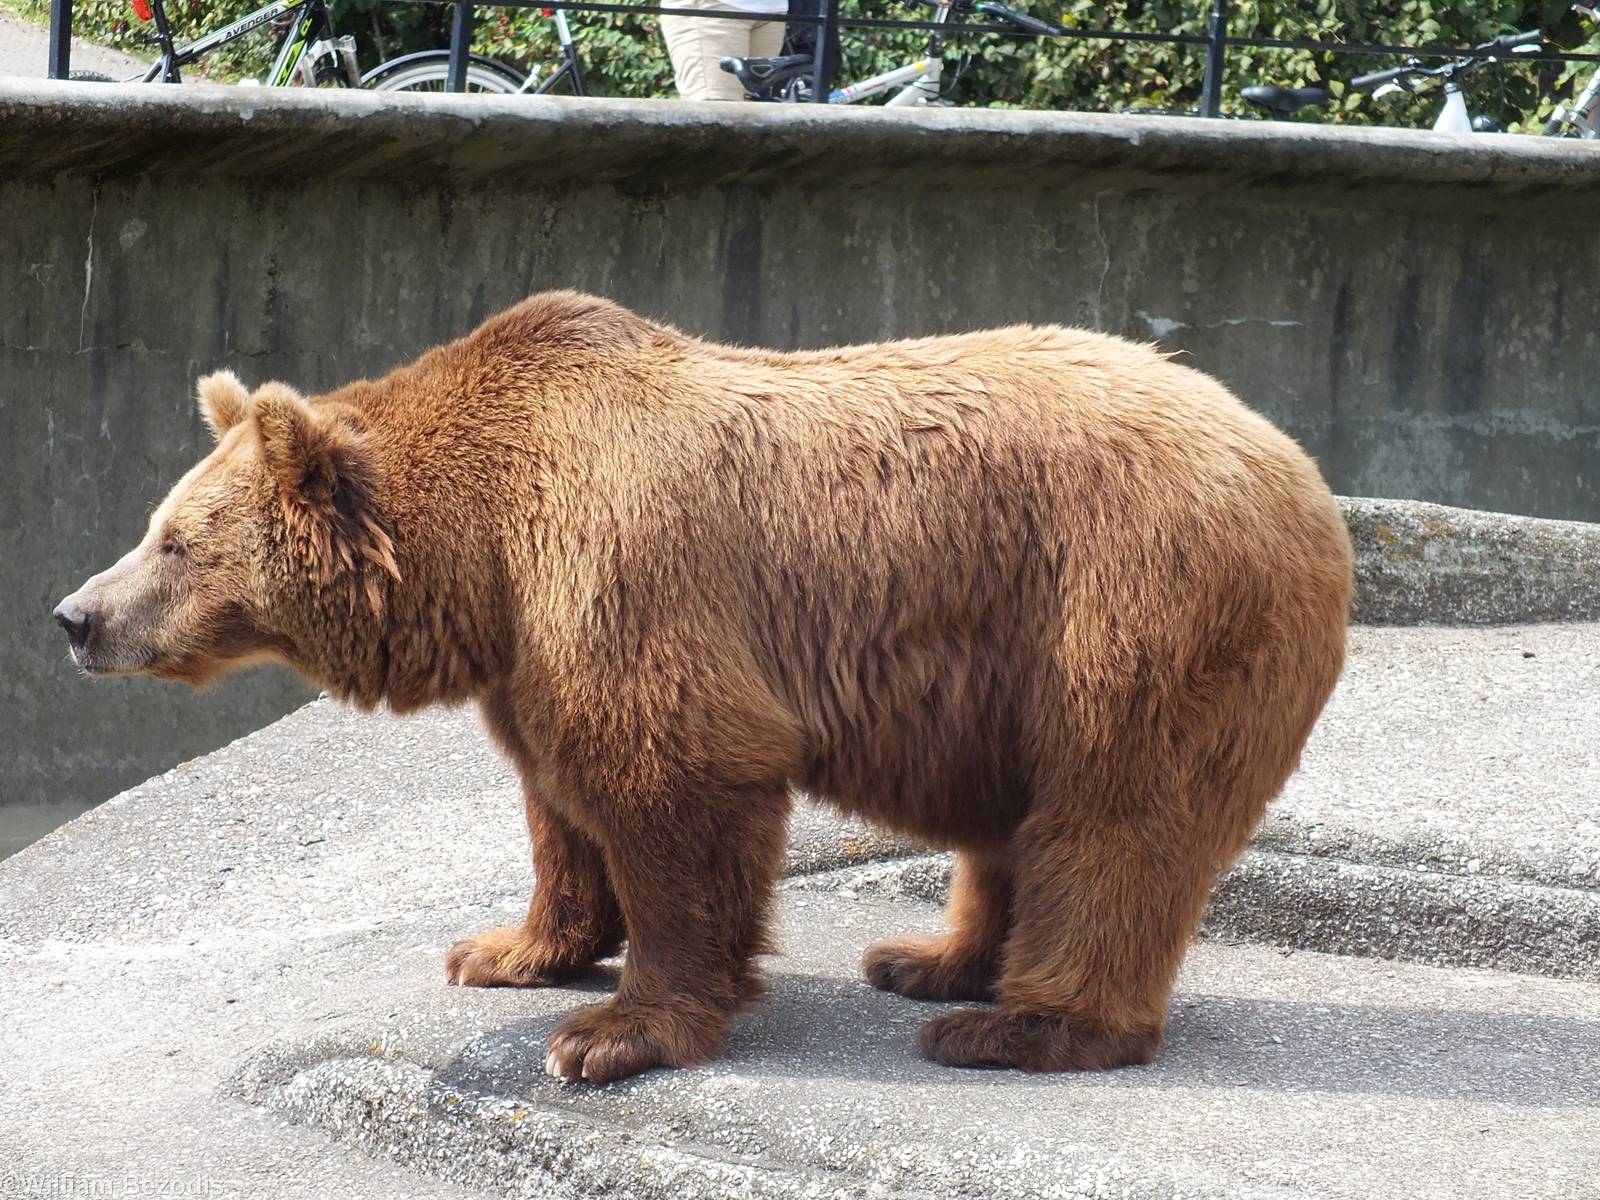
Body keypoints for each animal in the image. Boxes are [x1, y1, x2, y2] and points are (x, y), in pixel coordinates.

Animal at [55, 291, 1352, 1083]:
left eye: (175, 541)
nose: (75, 616)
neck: (479, 552)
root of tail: (1297, 468)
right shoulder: (532, 643)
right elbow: (556, 799)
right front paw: (508, 948)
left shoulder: (622, 569)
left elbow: (671, 783)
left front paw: (607, 1034)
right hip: (1009, 675)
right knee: (1019, 823)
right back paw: (929, 960)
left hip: (1128, 611)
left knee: (1114, 818)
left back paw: (1018, 1023)